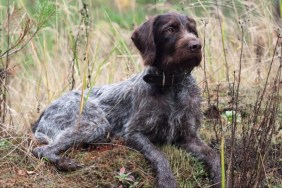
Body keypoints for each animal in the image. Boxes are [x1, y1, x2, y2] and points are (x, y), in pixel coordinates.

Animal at [32, 12, 221, 187]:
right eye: (170, 29)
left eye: (192, 30)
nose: (196, 45)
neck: (170, 84)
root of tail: (46, 110)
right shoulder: (133, 133)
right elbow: (159, 154)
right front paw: (166, 179)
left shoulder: (188, 136)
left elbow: (214, 155)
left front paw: (220, 177)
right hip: (94, 124)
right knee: (40, 149)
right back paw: (66, 163)